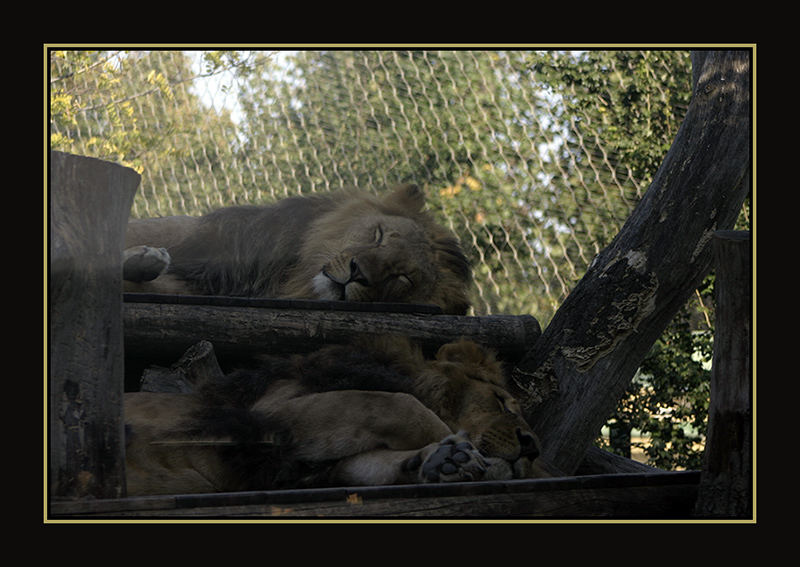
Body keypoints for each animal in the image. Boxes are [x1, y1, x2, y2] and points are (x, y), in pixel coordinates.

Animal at [122, 340, 540, 494]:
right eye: (502, 402)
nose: (533, 447)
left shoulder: (310, 467)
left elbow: (364, 466)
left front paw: (444, 460)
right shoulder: (268, 415)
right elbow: (401, 404)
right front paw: (457, 451)